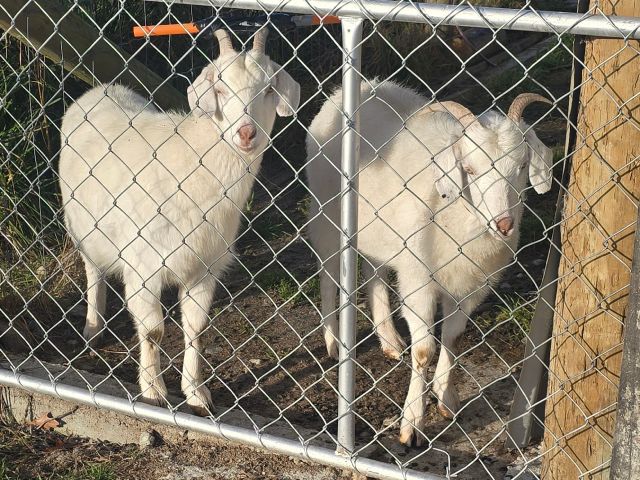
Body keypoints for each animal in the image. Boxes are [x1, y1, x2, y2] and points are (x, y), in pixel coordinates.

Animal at [59, 29, 300, 414]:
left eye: (268, 90)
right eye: (220, 90)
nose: (247, 133)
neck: (191, 162)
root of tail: (102, 89)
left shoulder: (205, 265)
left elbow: (196, 327)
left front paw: (196, 392)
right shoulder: (143, 265)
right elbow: (153, 330)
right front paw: (153, 390)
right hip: (83, 226)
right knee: (93, 269)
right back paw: (93, 328)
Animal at [305, 79, 552, 446]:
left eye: (522, 166)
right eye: (469, 169)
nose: (504, 224)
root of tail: (356, 88)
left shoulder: (470, 285)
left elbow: (454, 337)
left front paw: (446, 399)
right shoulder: (419, 282)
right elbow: (424, 350)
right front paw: (412, 425)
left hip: (380, 232)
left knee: (374, 271)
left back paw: (390, 341)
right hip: (327, 212)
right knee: (328, 271)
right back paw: (334, 342)